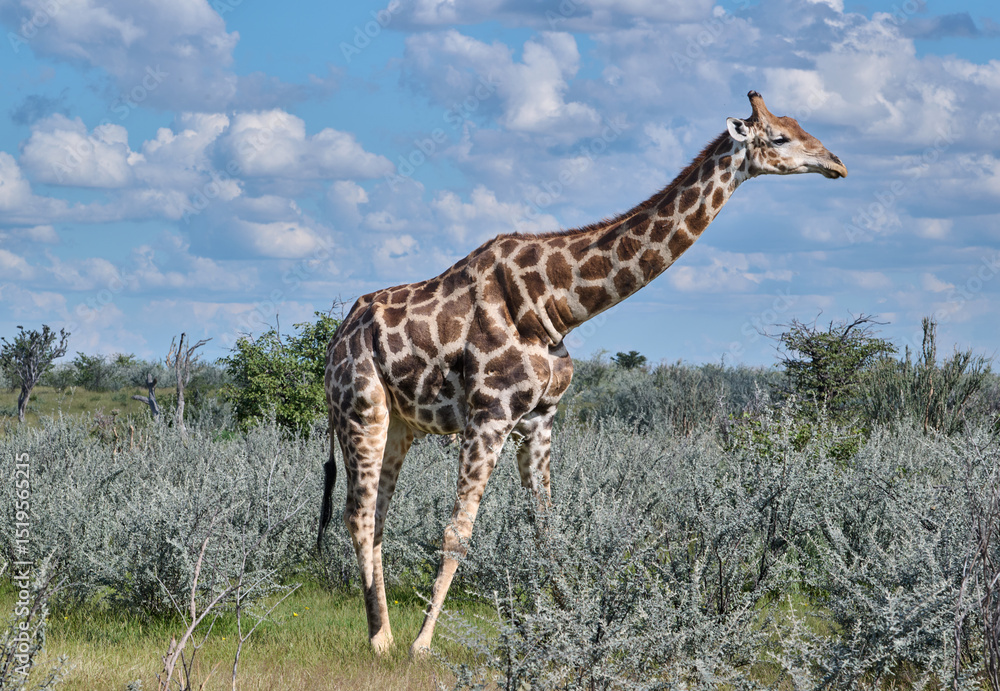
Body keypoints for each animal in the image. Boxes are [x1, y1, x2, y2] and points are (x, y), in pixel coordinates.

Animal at [317, 91, 847, 656]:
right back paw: (382, 640)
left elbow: (547, 528)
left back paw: (383, 631)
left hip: (400, 424)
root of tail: (336, 341)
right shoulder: (489, 413)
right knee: (358, 515)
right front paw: (423, 645)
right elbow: (458, 531)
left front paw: (566, 625)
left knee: (377, 517)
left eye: (800, 125)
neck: (558, 304)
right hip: (361, 410)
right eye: (781, 137)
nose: (837, 164)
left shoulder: (539, 417)